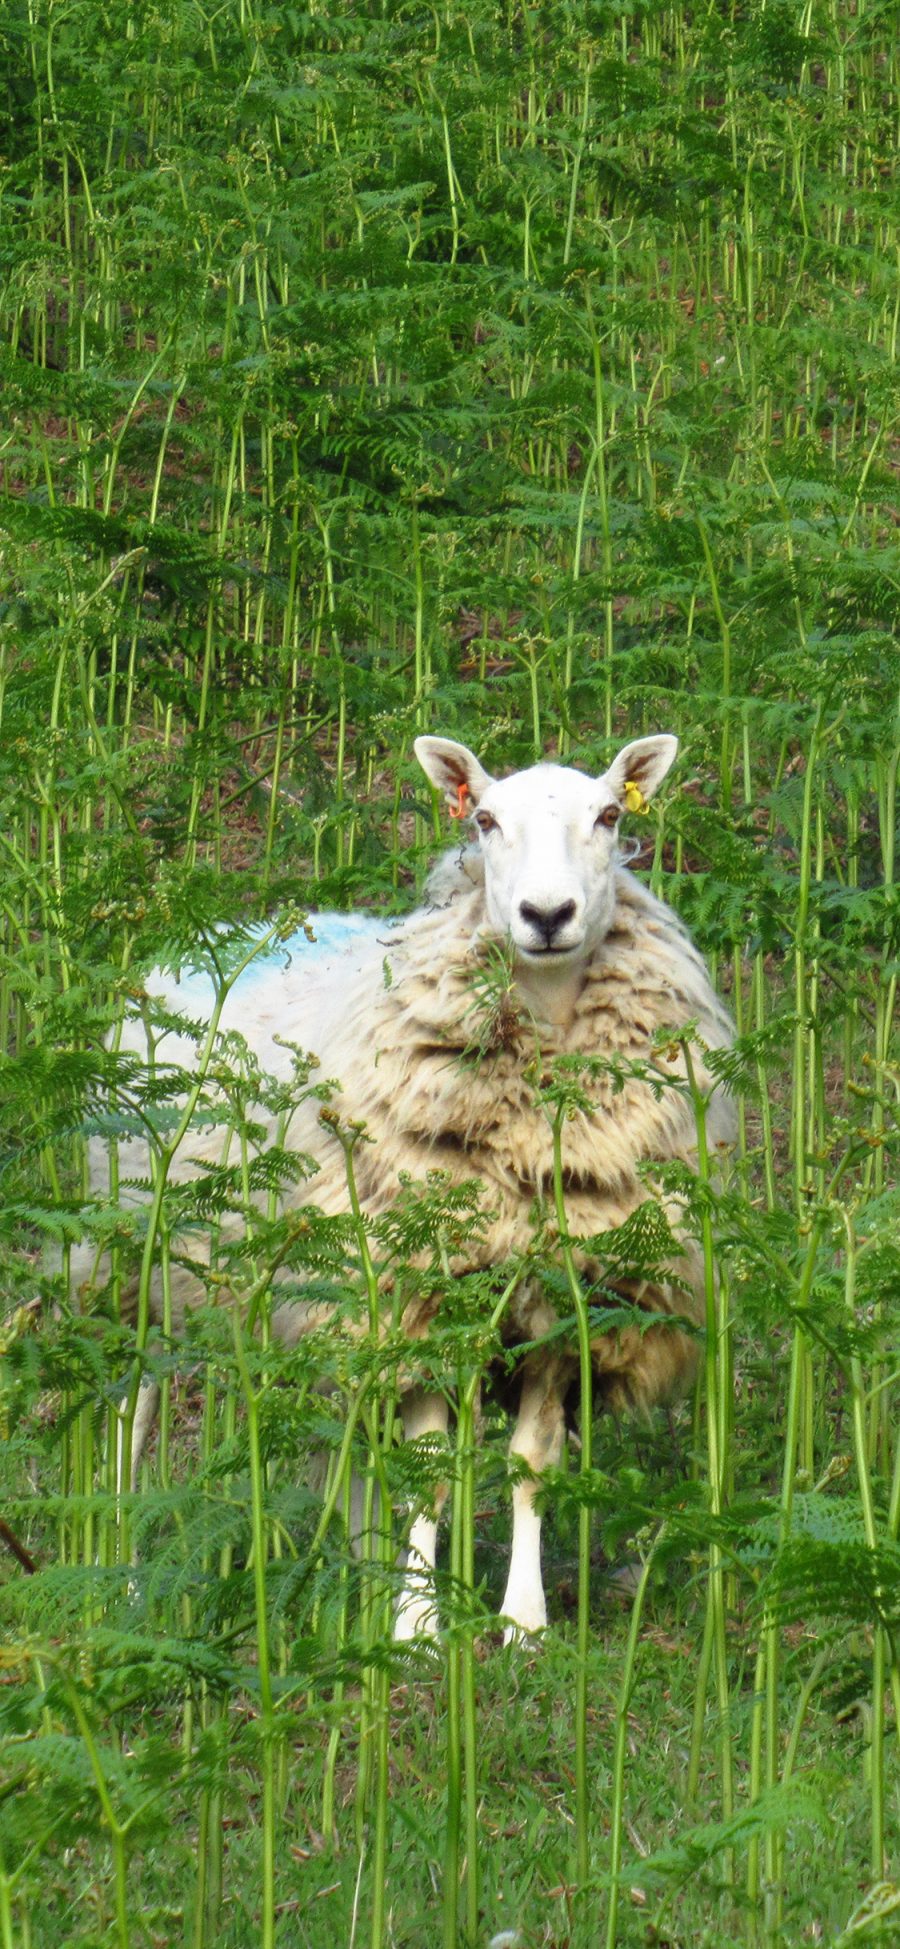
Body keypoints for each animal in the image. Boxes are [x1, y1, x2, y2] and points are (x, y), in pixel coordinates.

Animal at [77, 736, 736, 1637]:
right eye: (485, 819)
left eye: (608, 815)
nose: (547, 915)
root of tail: (209, 936)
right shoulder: (420, 1286)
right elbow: (426, 1464)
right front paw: (418, 1626)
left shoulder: (559, 1302)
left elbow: (530, 1462)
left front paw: (522, 1622)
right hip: (140, 1256)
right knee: (132, 1411)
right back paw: (125, 1573)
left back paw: (355, 1568)